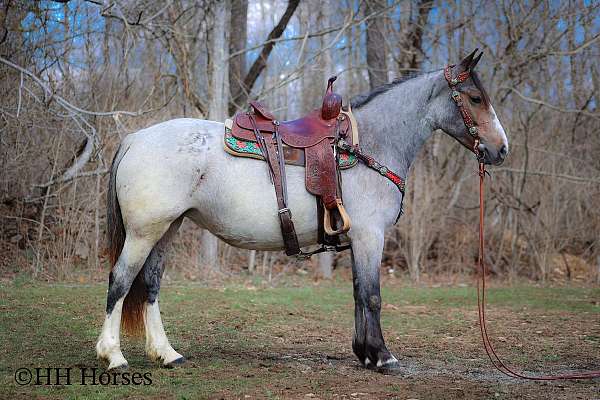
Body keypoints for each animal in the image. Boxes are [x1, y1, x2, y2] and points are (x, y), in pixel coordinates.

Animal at [96, 50, 508, 372]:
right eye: (474, 98)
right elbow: (372, 295)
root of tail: (135, 138)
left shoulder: (358, 239)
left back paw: (167, 353)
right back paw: (113, 355)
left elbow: (358, 292)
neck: (367, 145)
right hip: (144, 232)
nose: (500, 149)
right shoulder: (369, 235)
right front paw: (382, 357)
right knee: (120, 281)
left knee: (150, 284)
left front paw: (364, 354)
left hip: (167, 229)